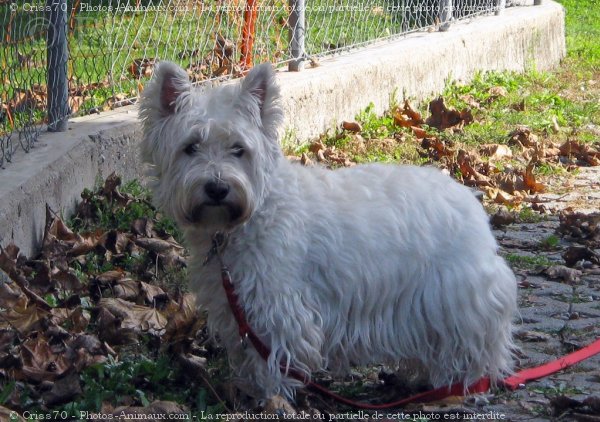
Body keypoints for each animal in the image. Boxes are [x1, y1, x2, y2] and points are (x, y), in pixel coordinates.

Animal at [138, 61, 516, 400]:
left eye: (238, 149)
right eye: (190, 147)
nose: (217, 188)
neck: (243, 221)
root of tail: (469, 198)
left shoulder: (277, 304)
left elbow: (274, 356)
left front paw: (271, 397)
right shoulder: (234, 304)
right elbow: (247, 353)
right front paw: (250, 389)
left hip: (456, 295)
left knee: (470, 343)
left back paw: (462, 384)